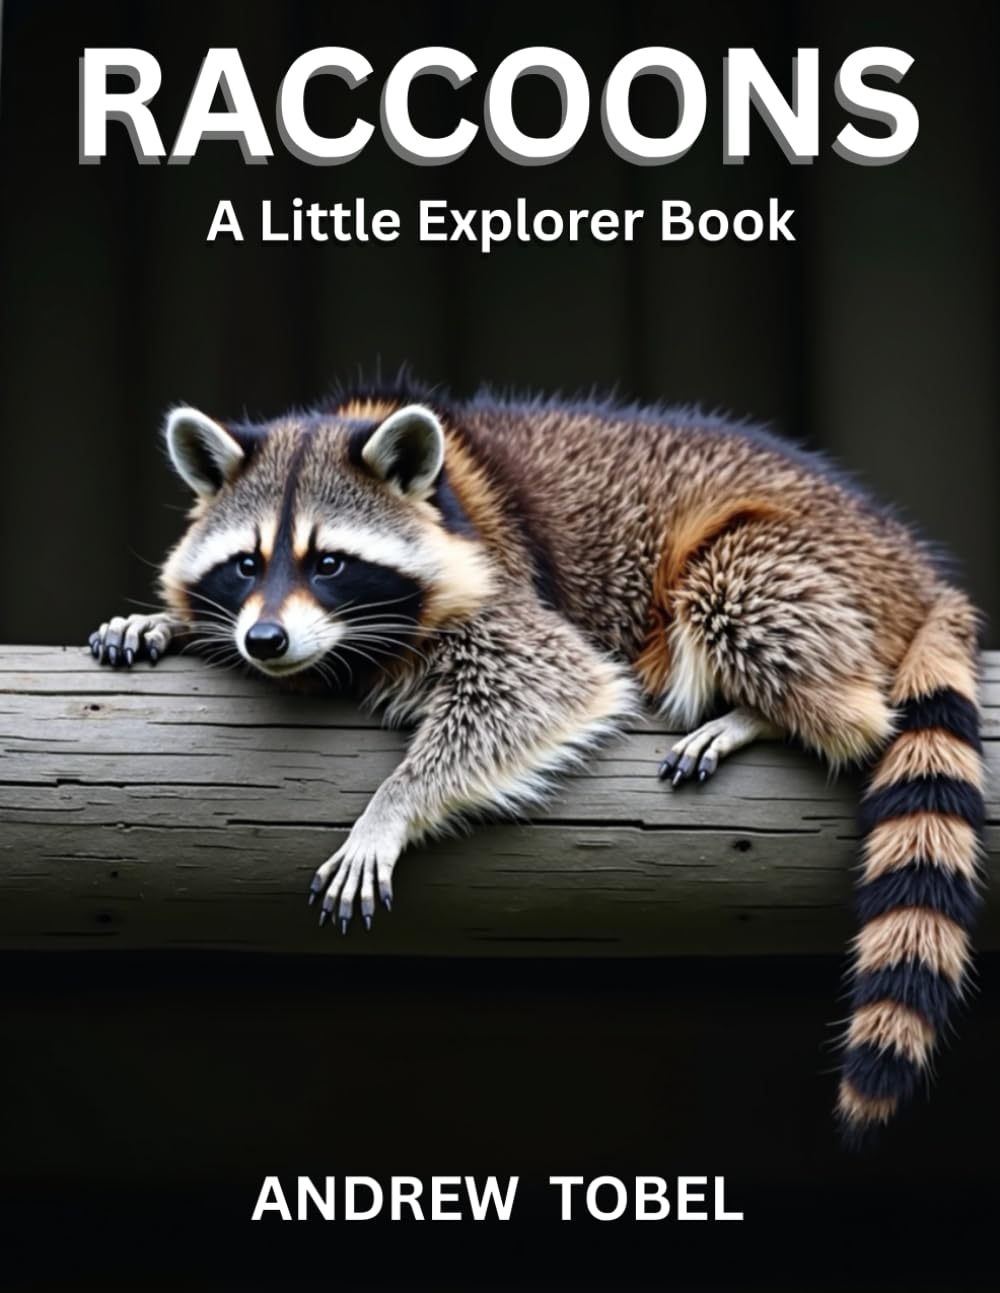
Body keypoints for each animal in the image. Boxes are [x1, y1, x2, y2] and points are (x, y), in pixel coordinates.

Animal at [89, 377, 985, 1142]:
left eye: (330, 563)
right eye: (247, 564)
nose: (265, 639)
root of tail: (907, 560)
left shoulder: (506, 588)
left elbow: (544, 684)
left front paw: (390, 807)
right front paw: (168, 622)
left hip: (789, 556)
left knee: (753, 606)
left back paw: (765, 713)